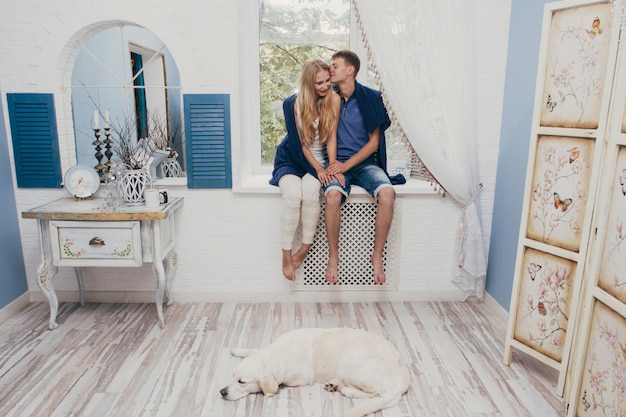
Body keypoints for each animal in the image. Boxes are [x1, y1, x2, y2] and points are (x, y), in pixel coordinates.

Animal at [219, 326, 410, 414]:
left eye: (242, 382)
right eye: (232, 376)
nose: (222, 392)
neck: (279, 354)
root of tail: (403, 372)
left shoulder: (297, 378)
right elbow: (254, 350)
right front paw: (238, 350)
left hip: (350, 362)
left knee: (379, 394)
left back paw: (346, 389)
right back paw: (335, 384)